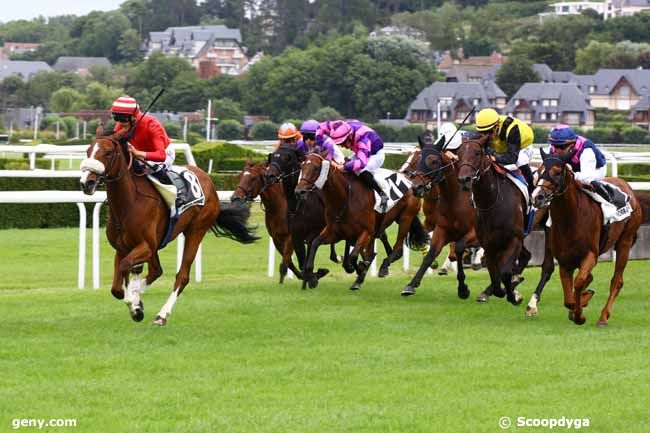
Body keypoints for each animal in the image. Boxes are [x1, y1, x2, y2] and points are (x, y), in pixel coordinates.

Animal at [82, 126, 260, 326]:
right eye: (87, 151)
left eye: (108, 152)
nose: (86, 182)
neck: (129, 204)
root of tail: (210, 183)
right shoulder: (123, 247)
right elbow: (117, 284)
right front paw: (136, 305)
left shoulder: (145, 246)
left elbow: (124, 272)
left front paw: (134, 303)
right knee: (155, 270)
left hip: (195, 232)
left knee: (181, 276)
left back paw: (161, 315)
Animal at [292, 152, 426, 290]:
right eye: (302, 166)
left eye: (315, 168)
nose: (299, 191)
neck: (345, 198)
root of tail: (411, 182)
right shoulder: (335, 232)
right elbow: (315, 243)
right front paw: (311, 275)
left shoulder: (366, 232)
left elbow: (354, 256)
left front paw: (358, 268)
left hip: (406, 217)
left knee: (397, 249)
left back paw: (382, 267)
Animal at [454, 135, 528, 304]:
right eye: (458, 155)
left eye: (477, 153)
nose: (464, 179)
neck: (492, 202)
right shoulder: (488, 244)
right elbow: (495, 280)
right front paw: (464, 289)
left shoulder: (515, 239)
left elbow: (504, 273)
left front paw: (514, 295)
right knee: (526, 256)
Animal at [532, 148, 644, 324]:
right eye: (538, 171)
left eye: (557, 172)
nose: (537, 197)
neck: (570, 220)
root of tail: (627, 186)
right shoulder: (564, 262)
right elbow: (569, 298)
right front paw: (578, 306)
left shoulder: (591, 255)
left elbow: (578, 283)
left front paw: (579, 314)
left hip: (625, 242)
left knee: (617, 281)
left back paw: (603, 317)